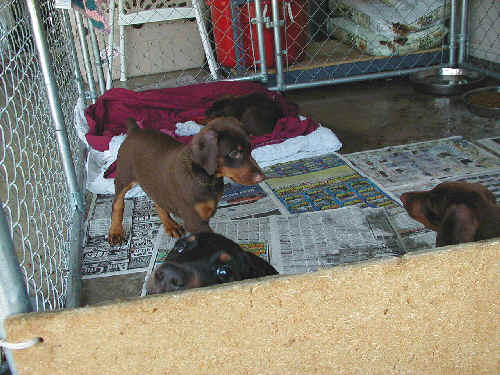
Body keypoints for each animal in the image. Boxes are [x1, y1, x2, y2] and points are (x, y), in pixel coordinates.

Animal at [108, 119, 266, 245]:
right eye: (234, 153)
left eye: (250, 148)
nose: (261, 178)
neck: (205, 177)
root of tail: (135, 130)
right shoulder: (194, 220)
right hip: (123, 176)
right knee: (117, 203)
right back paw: (115, 232)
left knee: (158, 201)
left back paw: (171, 225)